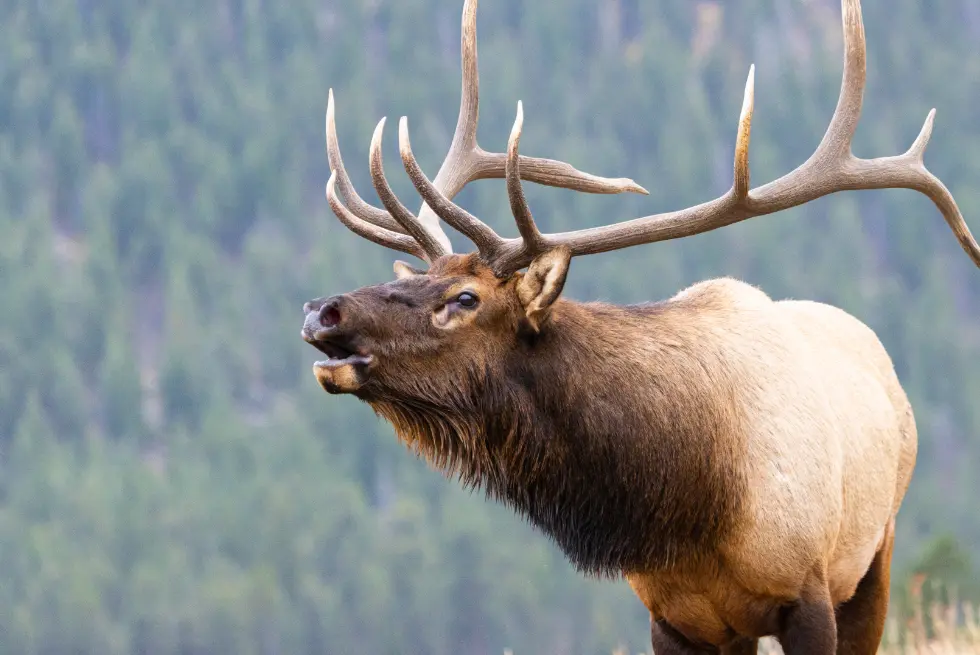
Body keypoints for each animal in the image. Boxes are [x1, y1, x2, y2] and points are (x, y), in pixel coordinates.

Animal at [300, 0, 980, 652]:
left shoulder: (807, 591)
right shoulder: (673, 617)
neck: (694, 503)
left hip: (874, 556)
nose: (322, 310)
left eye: (465, 297)